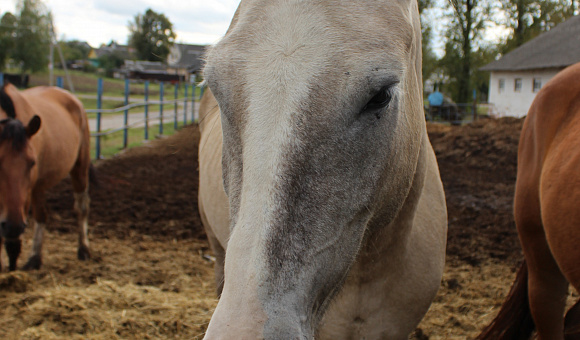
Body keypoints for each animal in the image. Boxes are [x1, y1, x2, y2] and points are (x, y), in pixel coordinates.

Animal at [0, 83, 92, 272]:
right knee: (41, 215)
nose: (13, 226)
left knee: (81, 207)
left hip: (79, 169)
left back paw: (83, 249)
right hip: (38, 186)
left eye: (32, 162)